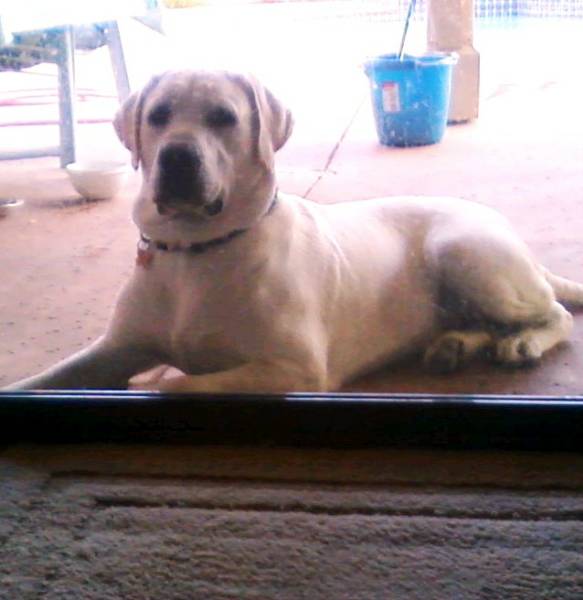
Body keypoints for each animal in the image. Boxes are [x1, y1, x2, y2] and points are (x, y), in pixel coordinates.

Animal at [5, 70, 583, 392]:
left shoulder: (294, 369)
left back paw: (522, 343)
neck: (196, 249)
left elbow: (174, 383)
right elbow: (45, 378)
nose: (177, 158)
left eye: (223, 117)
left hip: (463, 252)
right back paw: (454, 346)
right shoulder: (114, 346)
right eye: (159, 115)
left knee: (554, 313)